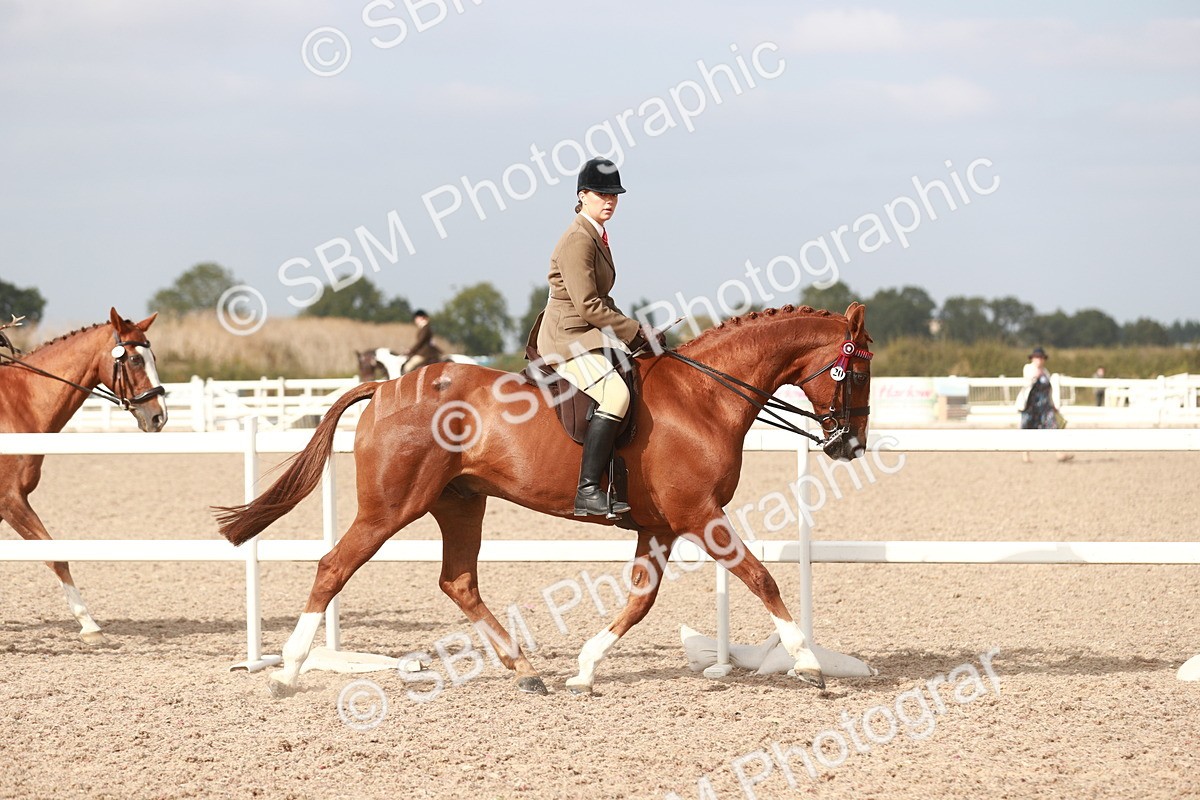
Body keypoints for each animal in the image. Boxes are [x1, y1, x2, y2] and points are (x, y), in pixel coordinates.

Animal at [0, 309, 168, 643]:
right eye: (134, 360)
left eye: (152, 356)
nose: (160, 416)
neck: (17, 404)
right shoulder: (10, 499)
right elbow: (55, 555)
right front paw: (88, 624)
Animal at [218, 303, 872, 697]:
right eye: (856, 372)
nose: (851, 445)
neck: (703, 396)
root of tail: (385, 385)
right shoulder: (700, 516)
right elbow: (761, 577)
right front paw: (809, 663)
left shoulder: (660, 526)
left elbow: (641, 600)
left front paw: (584, 668)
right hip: (390, 507)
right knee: (334, 566)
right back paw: (288, 670)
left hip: (460, 502)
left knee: (458, 581)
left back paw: (526, 671)